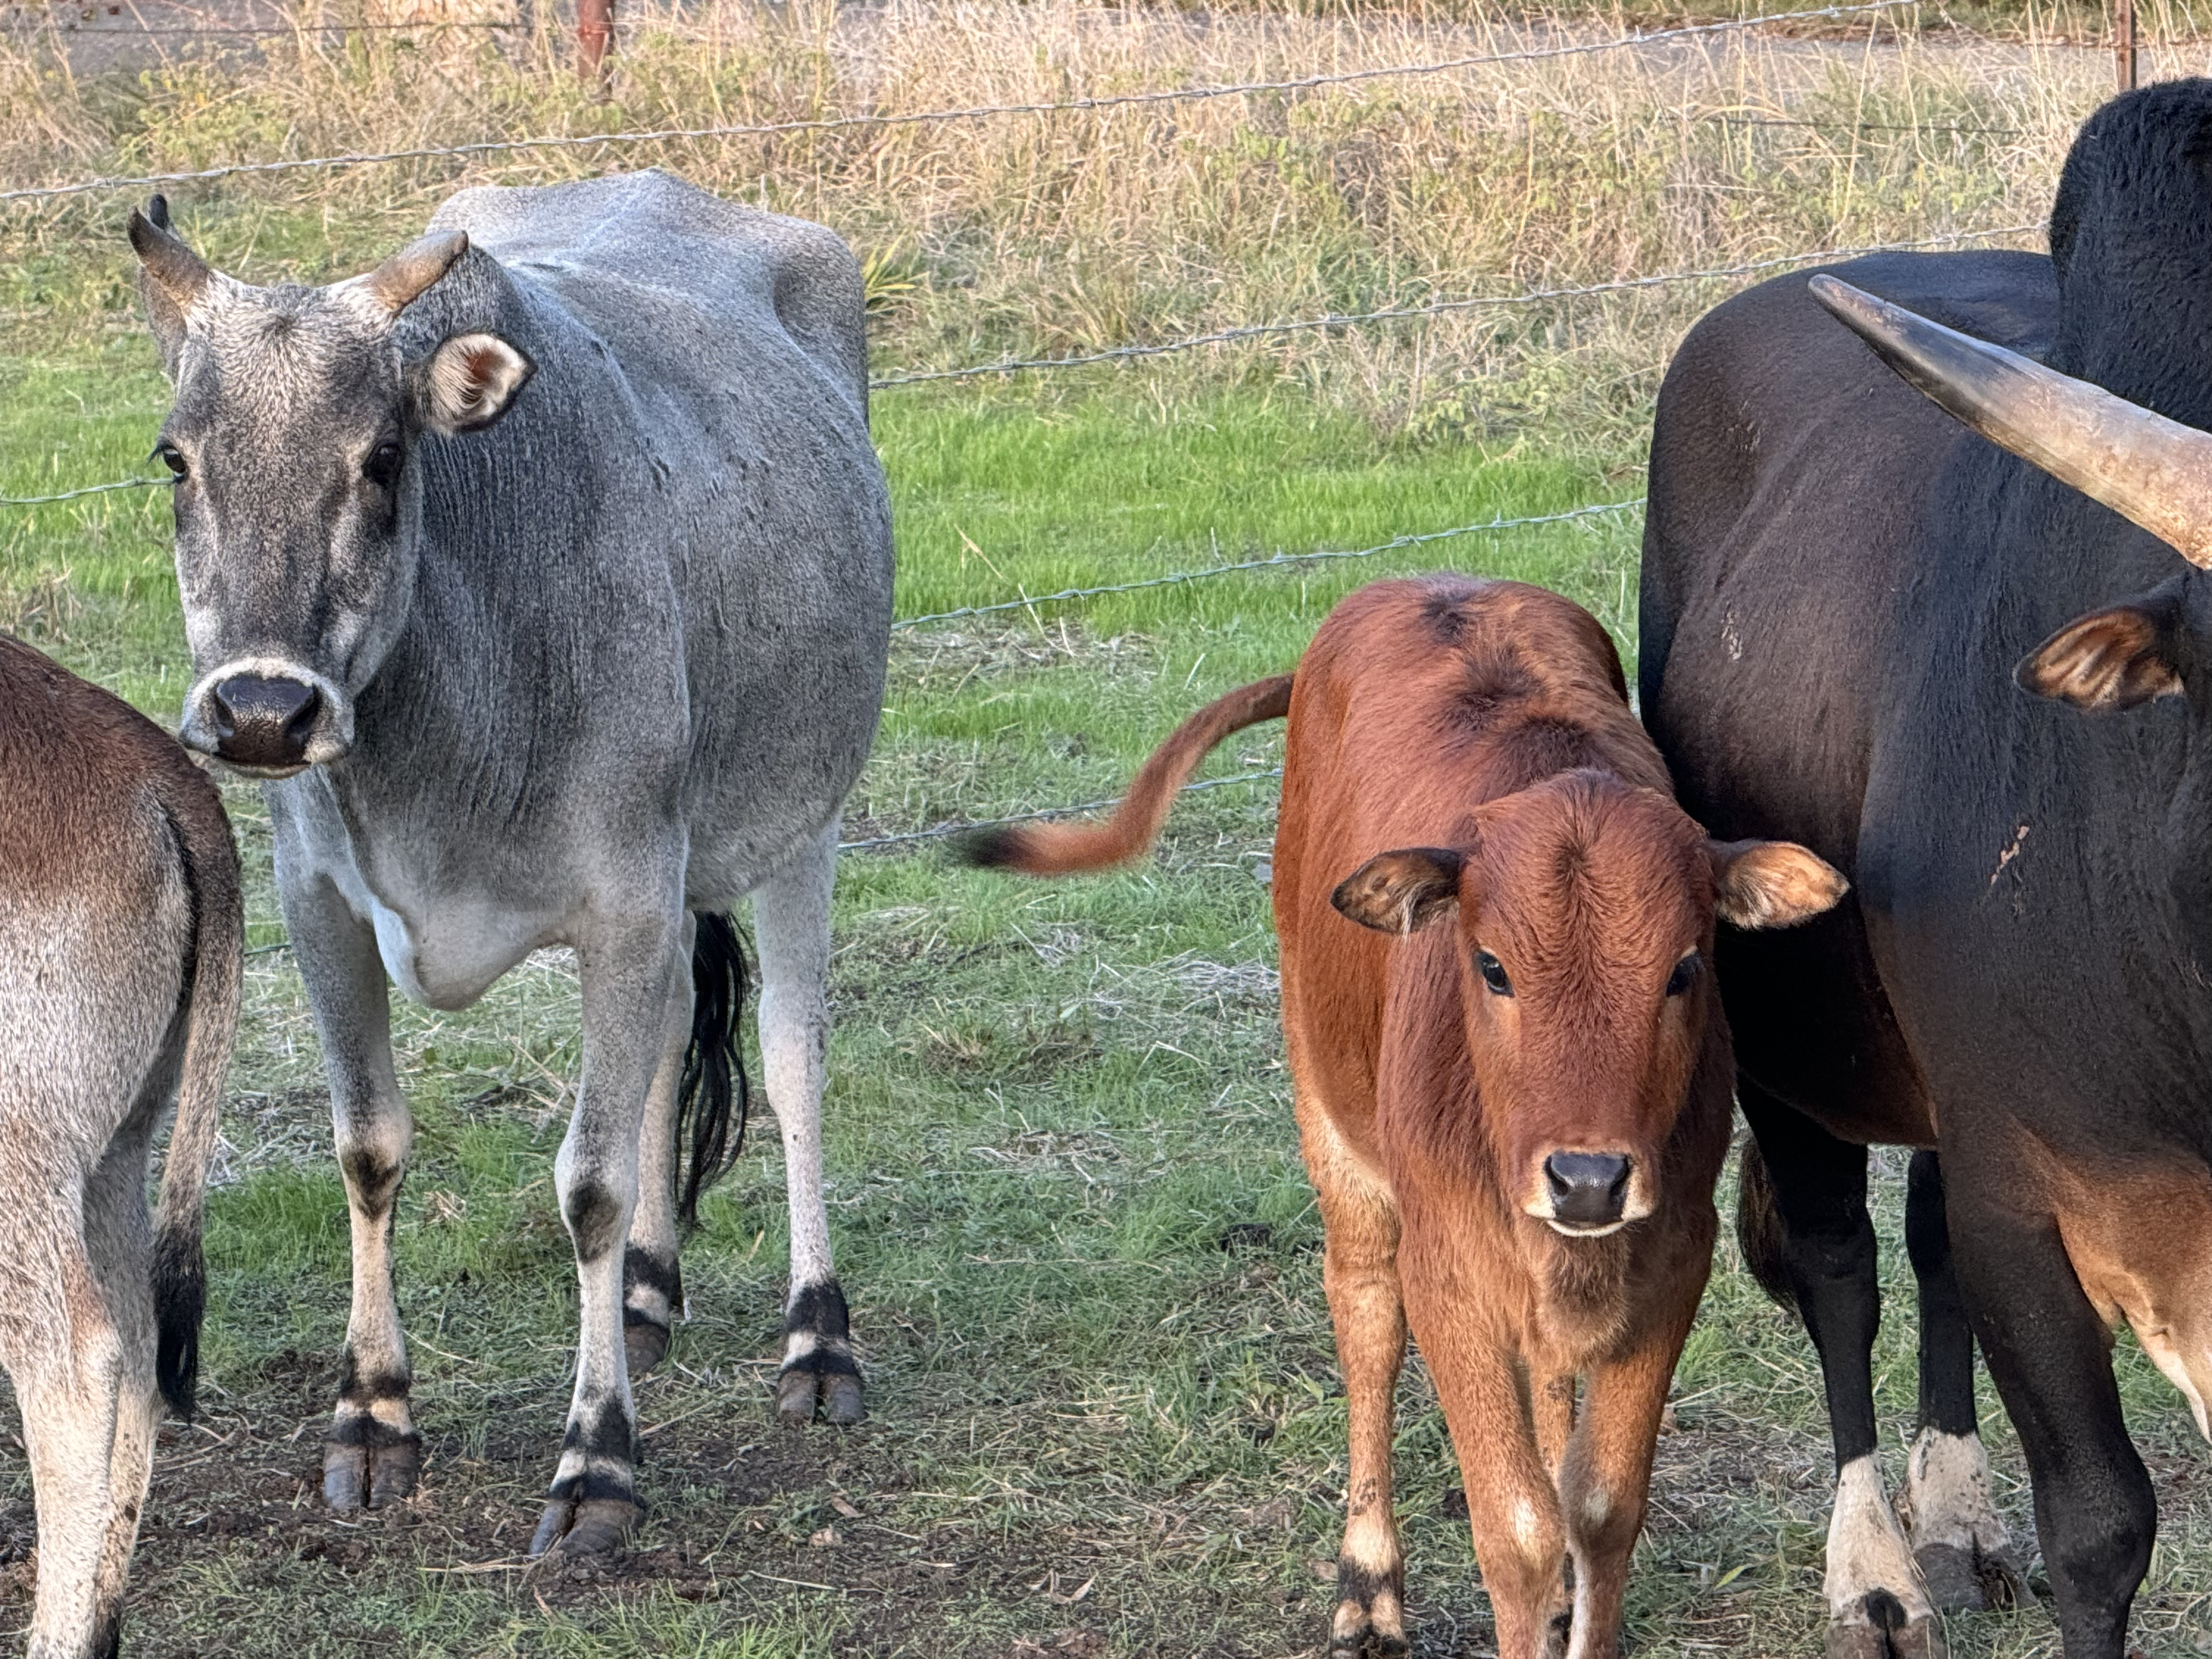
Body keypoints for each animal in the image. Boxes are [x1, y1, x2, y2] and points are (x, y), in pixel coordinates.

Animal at [131, 169, 898, 1557]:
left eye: (383, 458)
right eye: (178, 458)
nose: (263, 710)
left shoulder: (629, 898)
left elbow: (588, 1183)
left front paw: (597, 1461)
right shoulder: (320, 909)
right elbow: (369, 1149)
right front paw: (372, 1414)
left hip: (803, 821)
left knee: (793, 1061)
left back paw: (819, 1339)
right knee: (669, 1050)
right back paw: (644, 1296)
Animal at [969, 579, 1849, 1659]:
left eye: (1685, 967)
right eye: (1493, 965)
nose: (1587, 1179)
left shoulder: (1674, 1255)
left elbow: (1599, 1503)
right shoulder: (1447, 1275)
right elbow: (1515, 1523)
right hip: (1330, 1120)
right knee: (1363, 1314)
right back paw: (1368, 1582)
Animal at [1645, 84, 2212, 1659]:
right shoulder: (2031, 1197)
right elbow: (2102, 1526)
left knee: (1924, 1241)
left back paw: (1955, 1513)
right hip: (1789, 1047)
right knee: (1843, 1268)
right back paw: (1880, 1565)